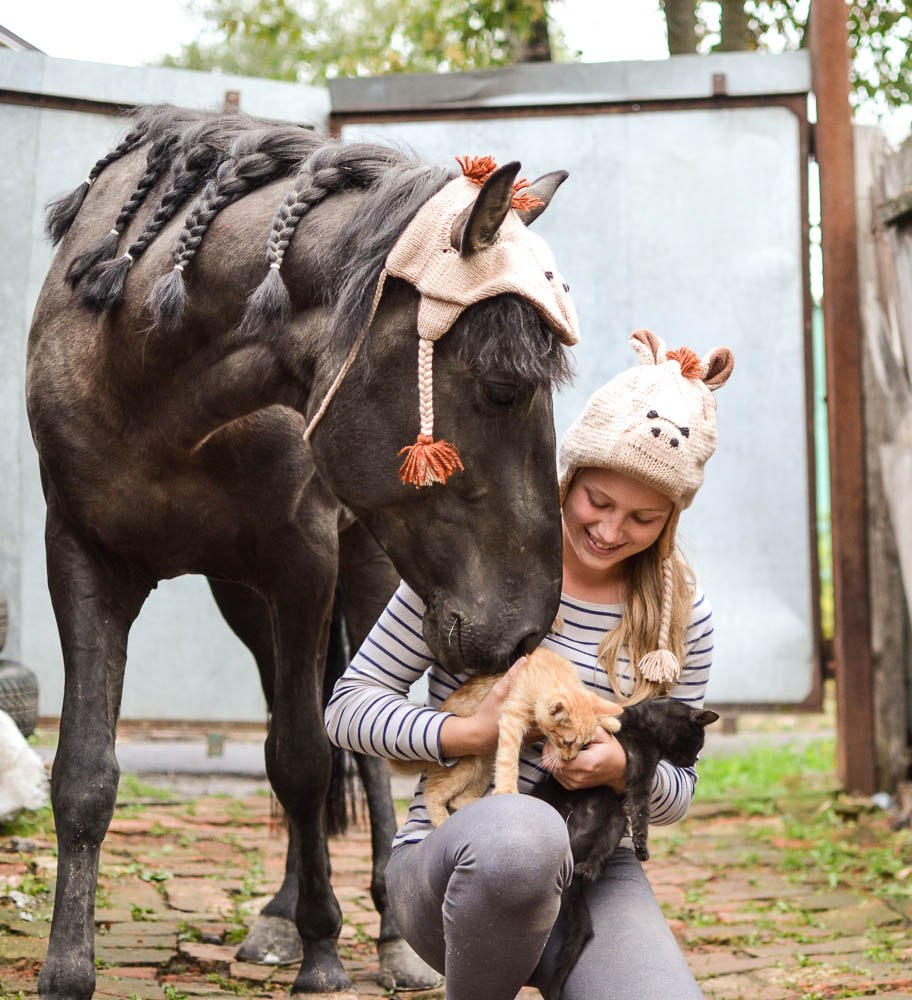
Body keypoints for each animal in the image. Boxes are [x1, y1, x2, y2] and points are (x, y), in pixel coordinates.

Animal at [28, 105, 572, 996]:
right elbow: (83, 770)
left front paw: (325, 950)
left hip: (370, 575)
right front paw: (67, 968)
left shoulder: (303, 563)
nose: (529, 629)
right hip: (246, 602)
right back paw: (281, 916)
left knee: (360, 747)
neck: (147, 372)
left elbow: (308, 758)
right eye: (503, 388)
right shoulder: (80, 554)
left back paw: (389, 939)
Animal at [392, 648, 620, 828]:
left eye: (583, 744)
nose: (570, 758)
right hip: (465, 768)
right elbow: (509, 759)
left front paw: (610, 721)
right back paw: (442, 821)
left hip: (483, 766)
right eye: (567, 742)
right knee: (432, 791)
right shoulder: (512, 717)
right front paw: (507, 789)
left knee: (459, 799)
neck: (551, 669)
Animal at [536, 700, 720, 996]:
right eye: (698, 744)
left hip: (615, 821)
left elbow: (641, 806)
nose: (692, 763)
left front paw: (641, 846)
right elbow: (642, 809)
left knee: (599, 857)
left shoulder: (639, 772)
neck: (645, 730)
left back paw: (589, 868)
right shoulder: (640, 766)